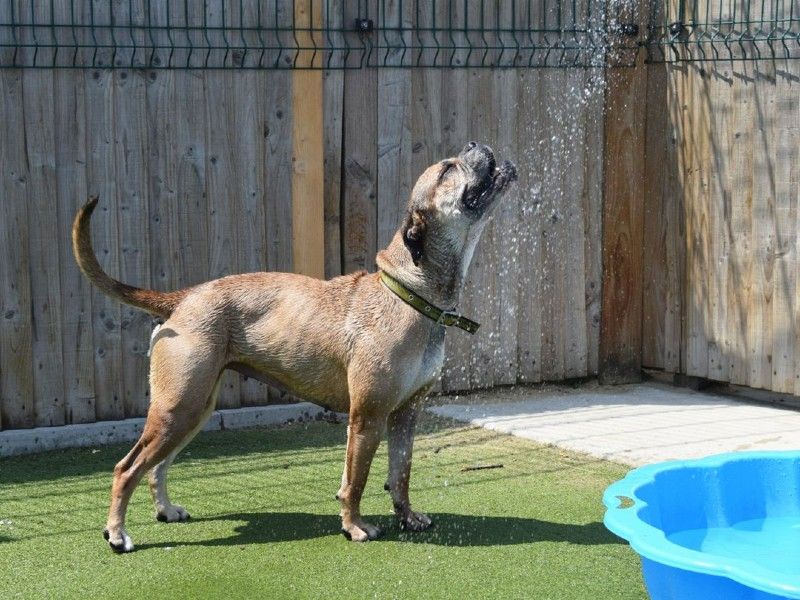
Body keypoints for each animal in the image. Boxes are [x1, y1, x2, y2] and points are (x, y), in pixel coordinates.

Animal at [73, 141, 520, 552]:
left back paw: (166, 510)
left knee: (157, 467)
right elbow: (356, 480)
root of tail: (185, 297)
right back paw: (117, 534)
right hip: (177, 409)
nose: (475, 143)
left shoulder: (405, 416)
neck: (409, 294)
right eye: (448, 169)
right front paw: (355, 527)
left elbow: (400, 474)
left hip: (192, 410)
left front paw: (407, 517)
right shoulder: (367, 419)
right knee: (126, 468)